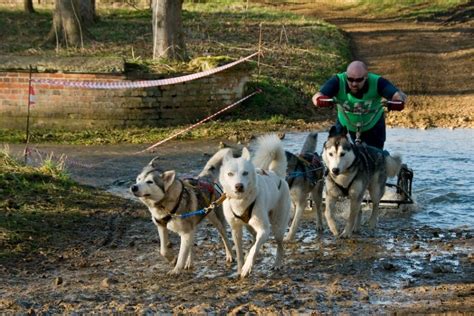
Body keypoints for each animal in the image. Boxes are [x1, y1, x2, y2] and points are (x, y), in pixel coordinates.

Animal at [219, 135, 292, 278]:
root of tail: (275, 174)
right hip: (249, 226)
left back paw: (277, 264)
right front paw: (240, 268)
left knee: (279, 245)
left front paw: (247, 267)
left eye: (245, 173)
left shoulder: (264, 230)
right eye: (230, 174)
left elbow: (255, 249)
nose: (239, 186)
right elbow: (240, 253)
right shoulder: (236, 230)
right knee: (253, 237)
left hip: (277, 227)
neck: (241, 202)